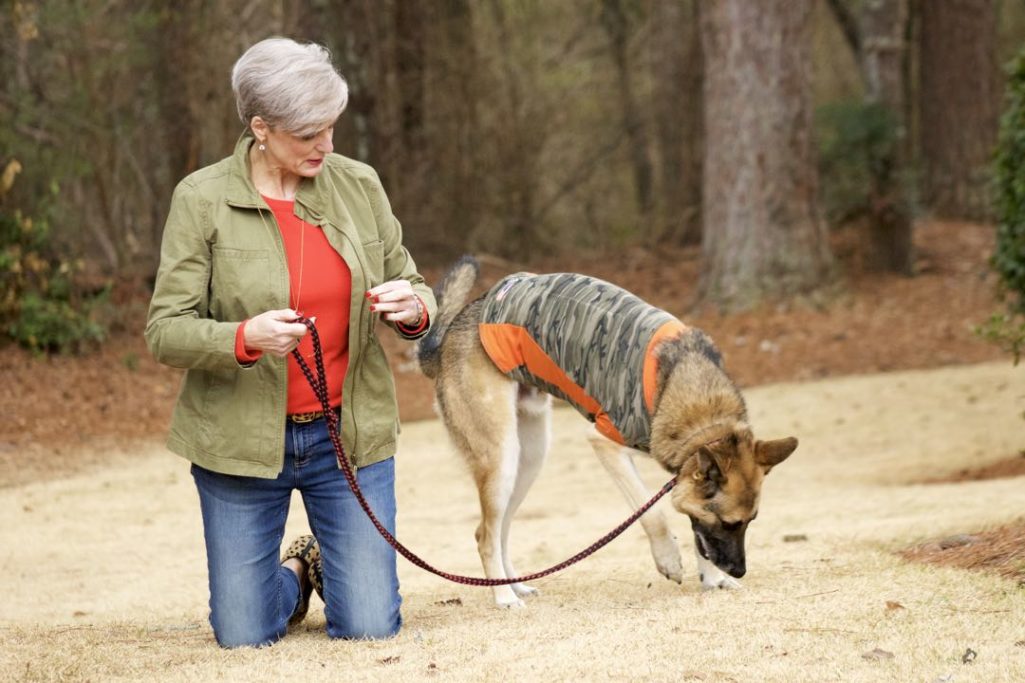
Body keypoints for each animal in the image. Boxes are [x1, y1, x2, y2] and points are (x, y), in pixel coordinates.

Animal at [412, 256, 795, 607]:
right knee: (484, 535)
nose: (739, 571)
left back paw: (516, 585)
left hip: (528, 459)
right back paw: (504, 597)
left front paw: (712, 579)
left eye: (750, 520)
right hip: (502, 457)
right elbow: (653, 515)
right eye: (730, 523)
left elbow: (696, 534)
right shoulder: (606, 442)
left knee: (500, 529)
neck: (701, 410)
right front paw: (670, 560)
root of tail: (444, 342)